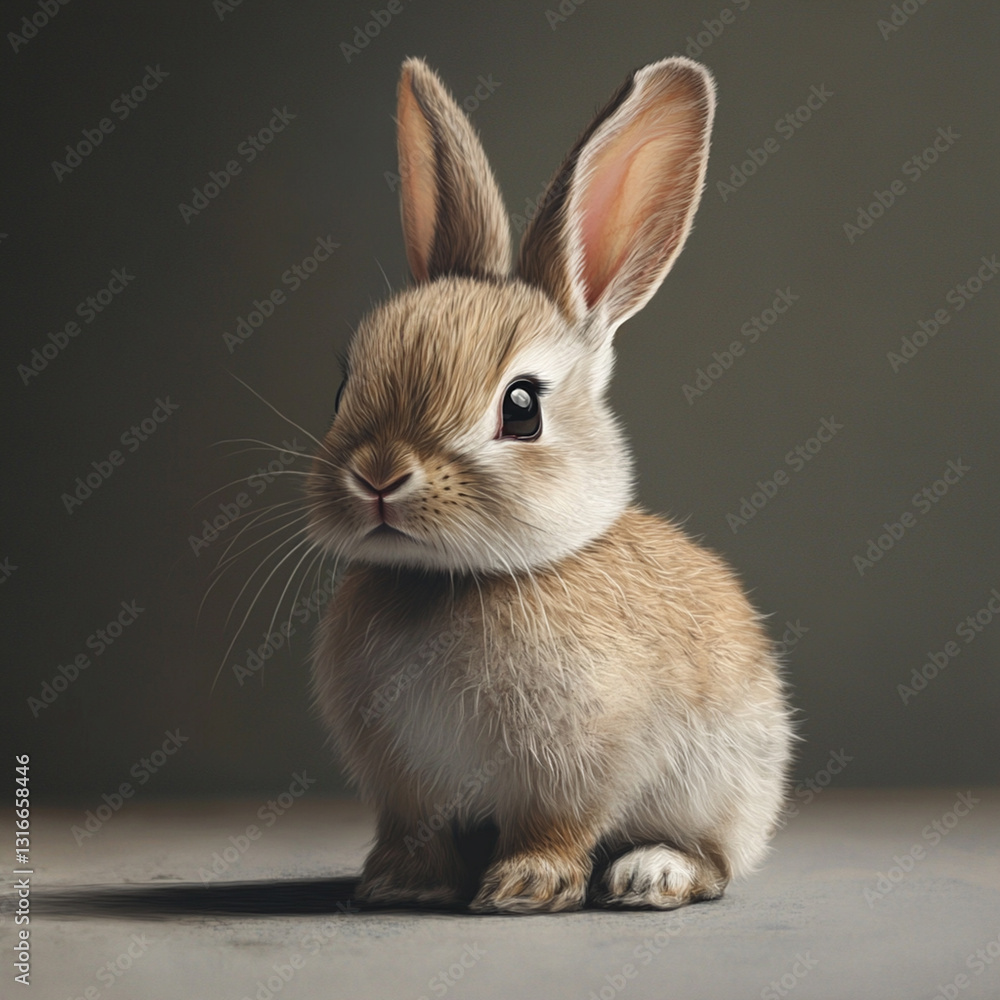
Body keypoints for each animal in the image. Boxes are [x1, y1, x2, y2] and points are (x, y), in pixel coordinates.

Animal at [306, 55, 794, 913]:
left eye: (522, 408)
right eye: (344, 388)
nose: (377, 477)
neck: (452, 582)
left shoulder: (576, 760)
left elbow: (556, 823)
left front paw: (525, 886)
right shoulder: (407, 786)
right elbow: (418, 831)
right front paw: (401, 885)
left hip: (727, 787)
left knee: (716, 862)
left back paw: (650, 875)